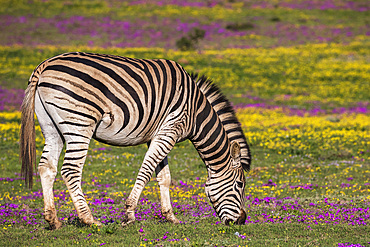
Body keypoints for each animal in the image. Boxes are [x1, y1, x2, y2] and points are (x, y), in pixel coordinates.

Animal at [21, 52, 249, 230]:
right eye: (240, 184)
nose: (241, 220)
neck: (195, 113)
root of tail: (44, 65)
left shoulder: (158, 134)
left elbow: (164, 176)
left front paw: (170, 216)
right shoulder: (171, 130)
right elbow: (147, 171)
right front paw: (129, 214)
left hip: (52, 127)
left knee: (46, 167)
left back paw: (53, 220)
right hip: (79, 122)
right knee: (70, 170)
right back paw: (90, 220)